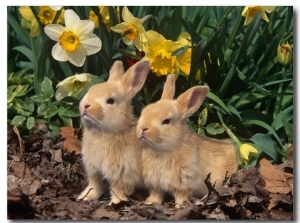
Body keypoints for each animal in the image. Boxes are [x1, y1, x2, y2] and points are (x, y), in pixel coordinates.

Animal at [77, 59, 150, 204]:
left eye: (110, 100)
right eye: (90, 90)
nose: (85, 105)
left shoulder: (122, 173)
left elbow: (118, 190)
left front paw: (115, 203)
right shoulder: (94, 170)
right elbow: (95, 185)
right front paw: (85, 197)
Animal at [137, 74, 239, 206]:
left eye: (166, 121)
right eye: (144, 112)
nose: (143, 128)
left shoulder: (184, 184)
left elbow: (181, 196)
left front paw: (179, 206)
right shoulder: (156, 184)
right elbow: (156, 194)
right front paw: (150, 202)